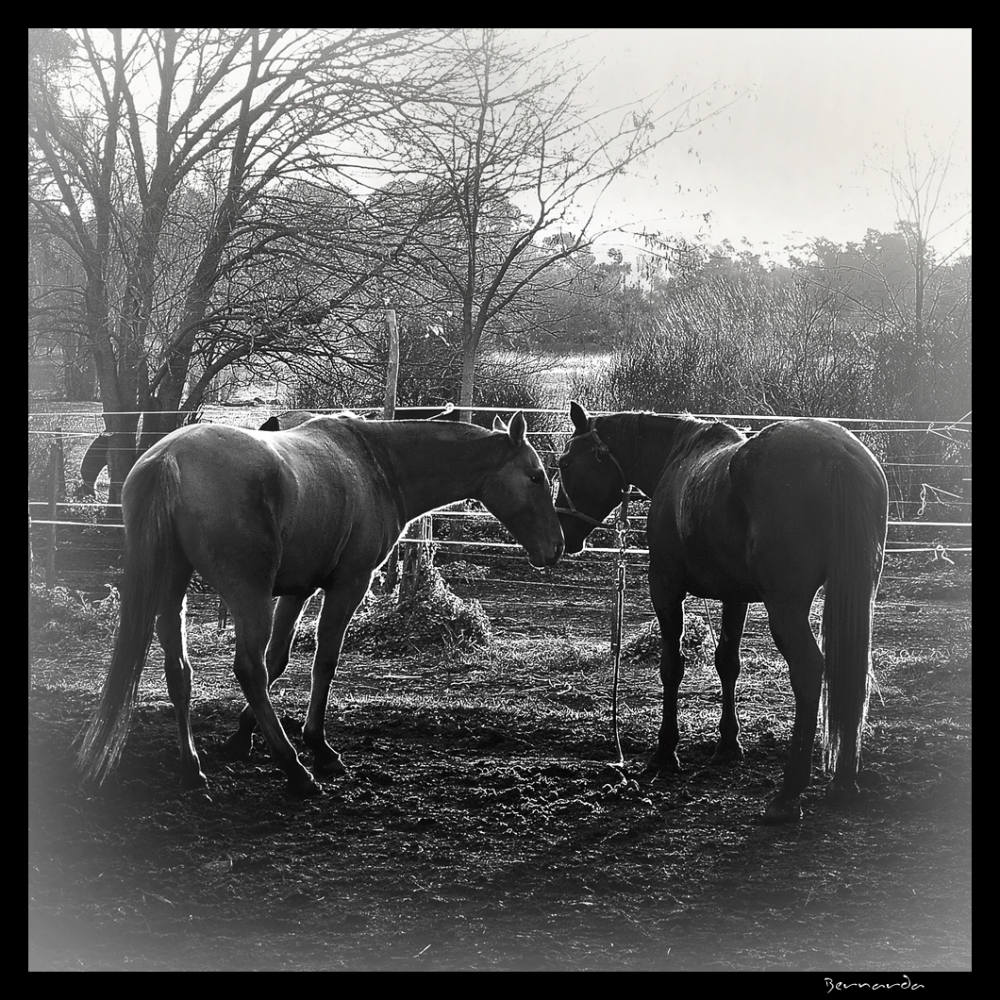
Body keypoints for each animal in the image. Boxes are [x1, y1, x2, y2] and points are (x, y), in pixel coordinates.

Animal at [78, 410, 564, 792]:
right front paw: (319, 746)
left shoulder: (298, 590)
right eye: (536, 476)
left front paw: (240, 738)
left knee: (181, 672)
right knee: (248, 669)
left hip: (173, 589)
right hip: (248, 594)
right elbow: (323, 660)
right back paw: (295, 771)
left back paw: (193, 768)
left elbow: (279, 659)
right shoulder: (348, 584)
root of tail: (168, 459)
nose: (557, 547)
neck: (376, 464)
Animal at [556, 402, 892, 824]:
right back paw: (843, 782)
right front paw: (728, 745)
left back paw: (788, 793)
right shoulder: (735, 597)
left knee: (809, 670)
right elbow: (727, 663)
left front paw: (665, 753)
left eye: (565, 463)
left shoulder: (665, 587)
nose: (561, 533)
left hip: (786, 607)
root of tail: (838, 456)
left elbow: (672, 666)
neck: (678, 457)